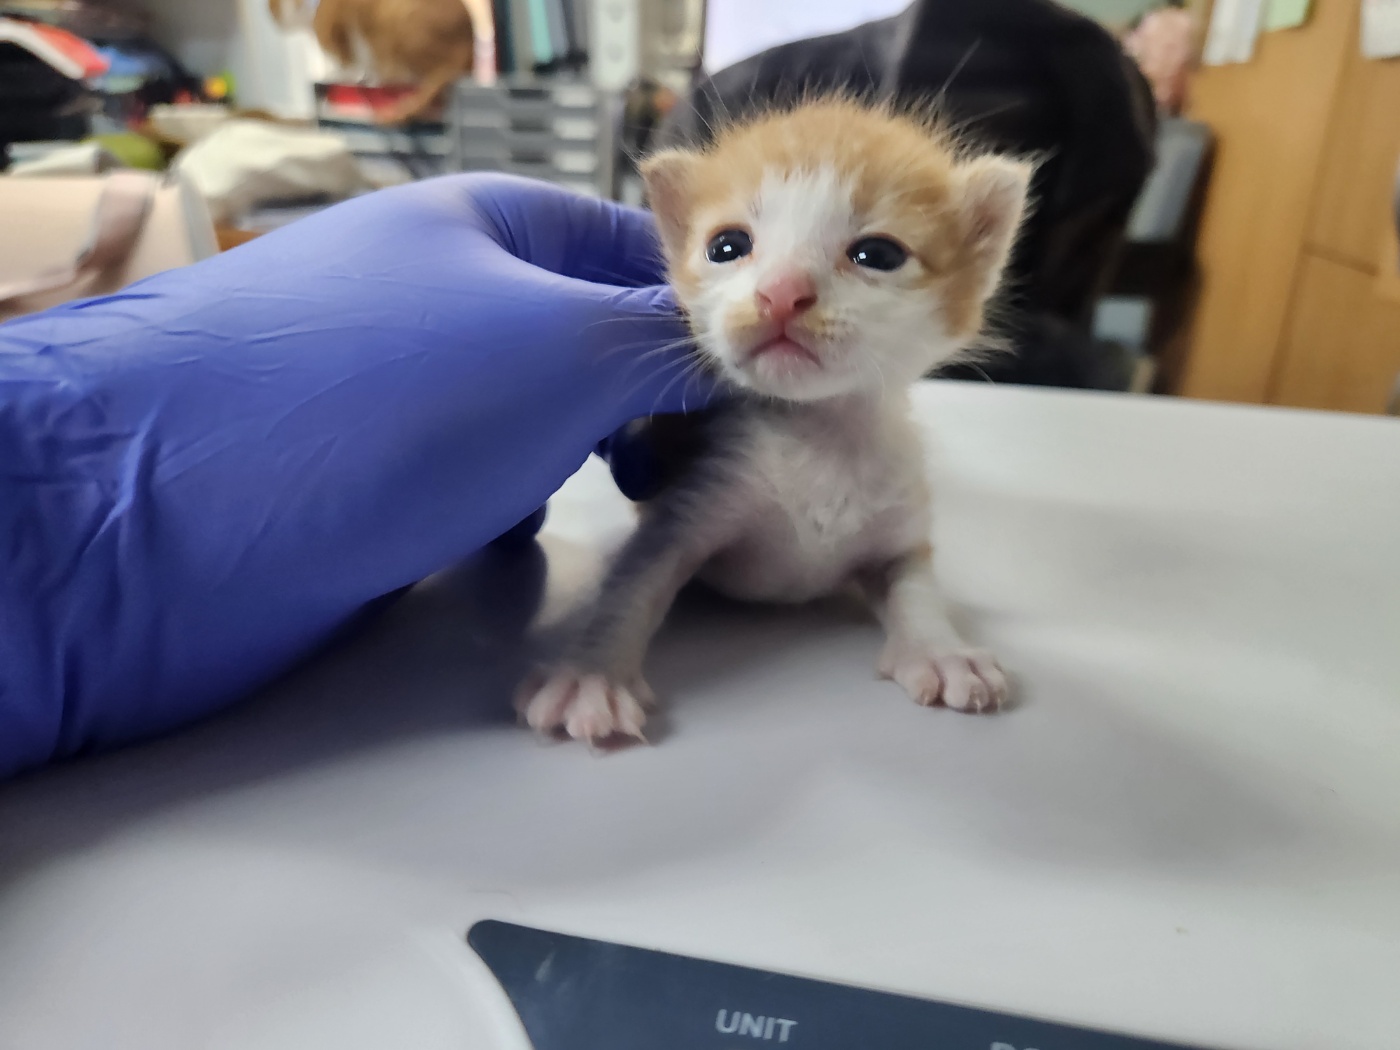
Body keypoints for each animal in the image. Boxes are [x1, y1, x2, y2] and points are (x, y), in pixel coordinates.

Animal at [515, 96, 1030, 739]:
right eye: (727, 246)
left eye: (878, 255)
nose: (782, 292)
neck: (819, 434)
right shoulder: (693, 494)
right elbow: (632, 583)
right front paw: (590, 675)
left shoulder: (899, 518)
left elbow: (915, 583)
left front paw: (942, 650)